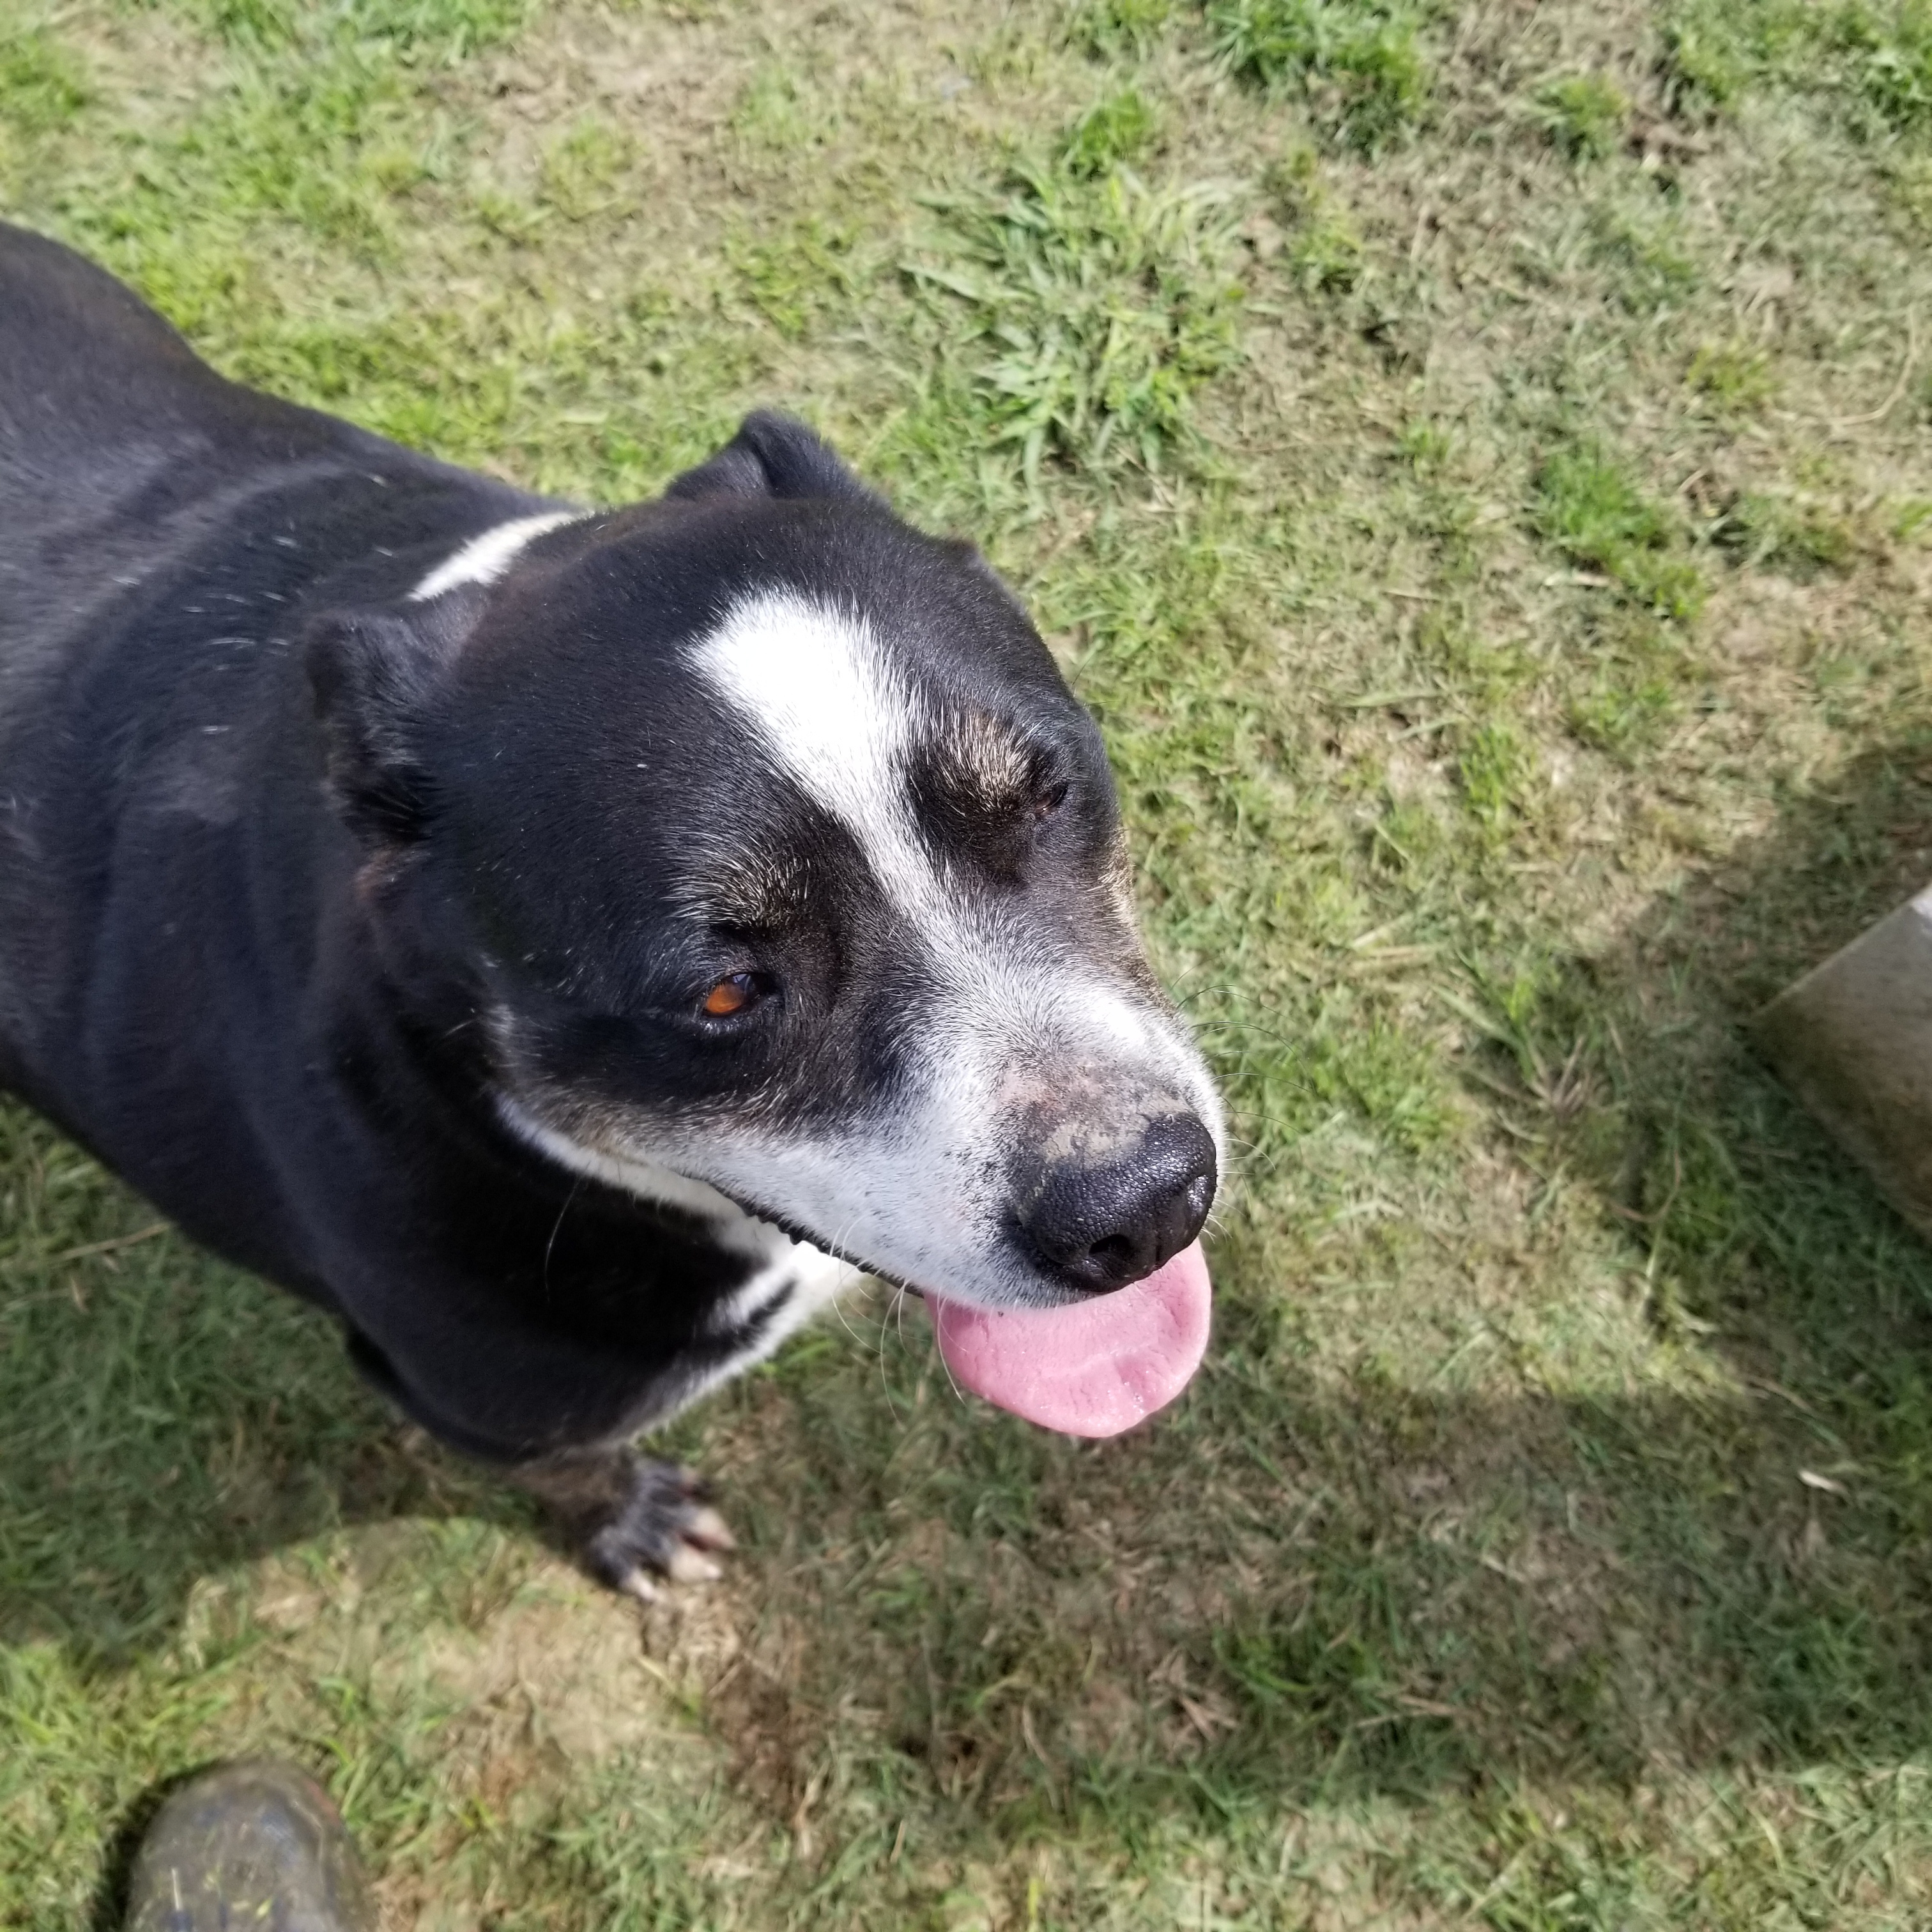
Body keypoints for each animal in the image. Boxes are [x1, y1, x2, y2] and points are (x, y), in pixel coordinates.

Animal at [0, 226, 1221, 1591]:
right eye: (722, 992)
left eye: (1047, 793)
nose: (1142, 1202)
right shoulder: (480, 1399)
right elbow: (567, 1467)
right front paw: (628, 1521)